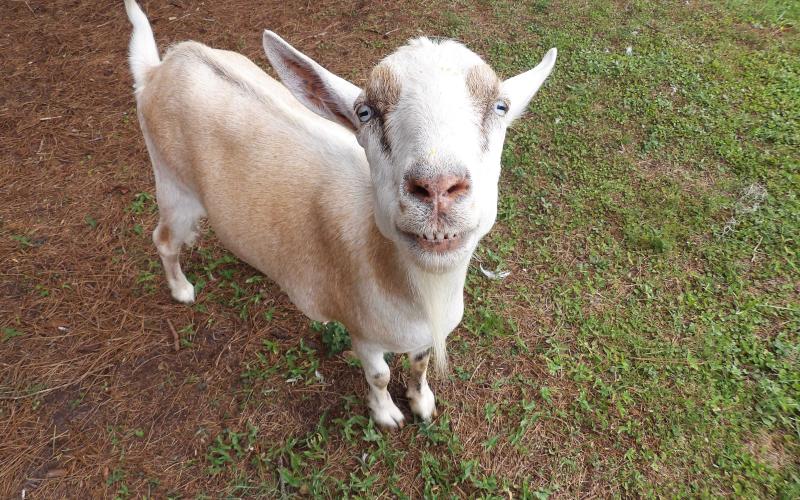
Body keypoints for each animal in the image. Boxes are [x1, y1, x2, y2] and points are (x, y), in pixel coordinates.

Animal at [123, 0, 556, 428]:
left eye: (501, 107)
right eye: (365, 113)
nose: (437, 188)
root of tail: (160, 68)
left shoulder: (420, 336)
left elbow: (419, 363)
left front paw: (421, 402)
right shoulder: (362, 330)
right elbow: (379, 374)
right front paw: (387, 415)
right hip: (173, 185)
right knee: (163, 239)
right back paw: (181, 288)